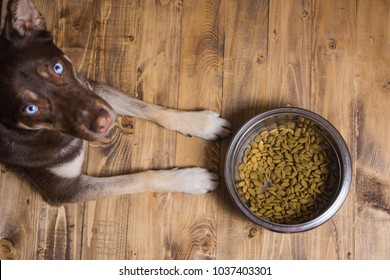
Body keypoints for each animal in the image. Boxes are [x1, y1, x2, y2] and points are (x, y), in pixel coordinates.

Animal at [0, 0, 230, 206]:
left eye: (58, 67)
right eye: (31, 109)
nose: (105, 121)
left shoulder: (89, 88)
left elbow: (147, 108)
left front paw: (201, 123)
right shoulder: (65, 190)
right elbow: (137, 179)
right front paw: (190, 179)